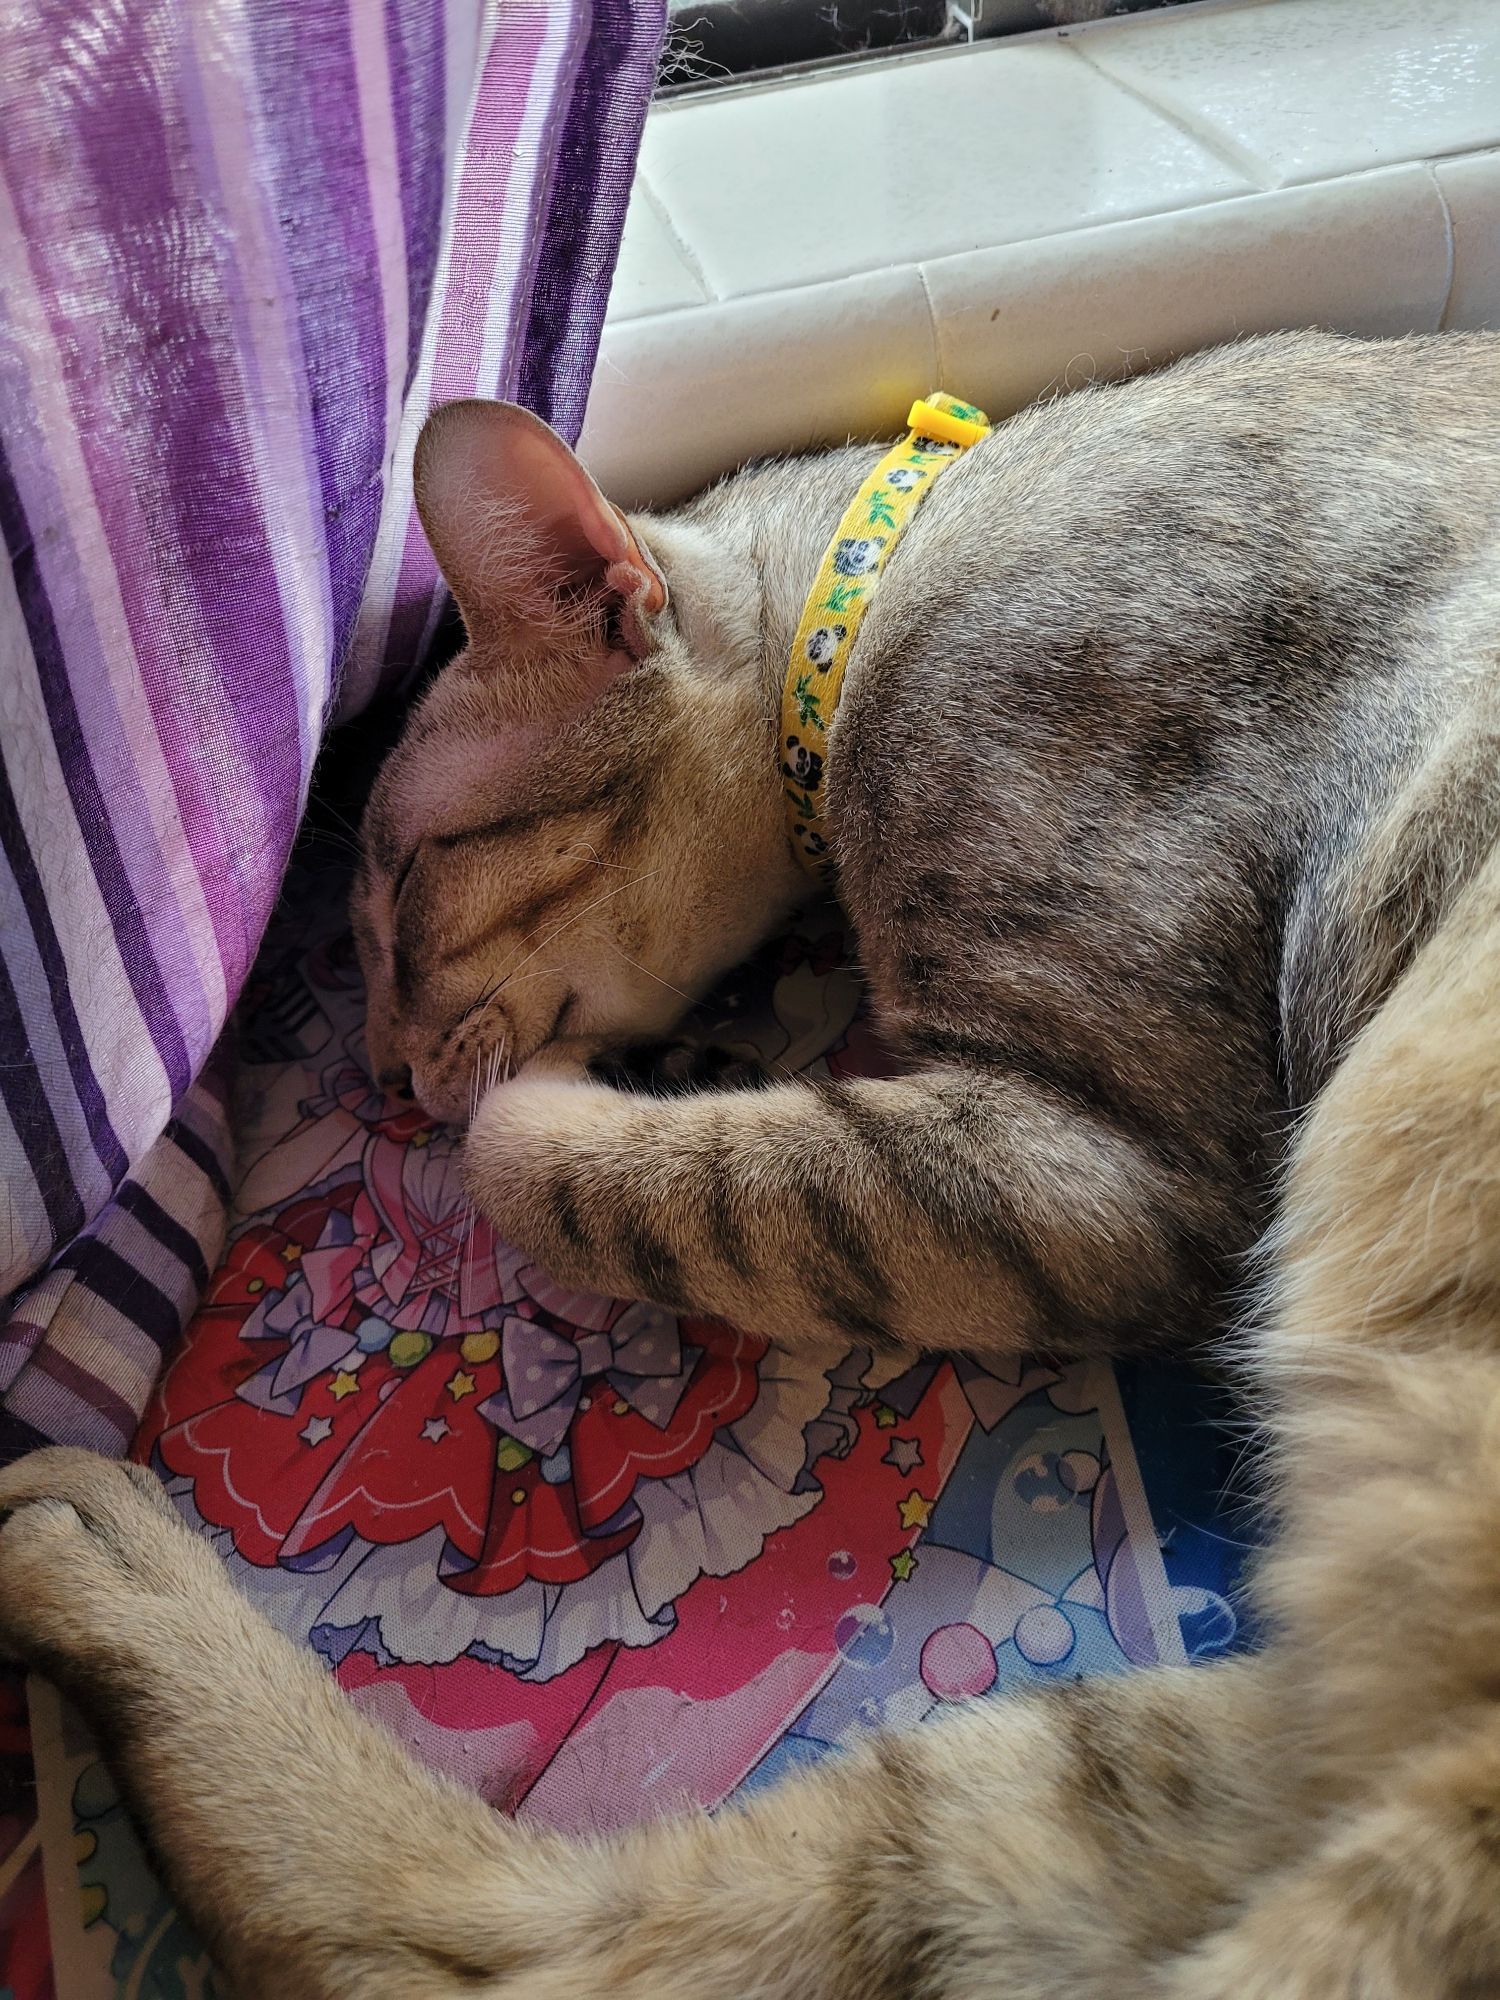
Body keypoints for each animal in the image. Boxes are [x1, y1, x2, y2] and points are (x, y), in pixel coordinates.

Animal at [2, 332, 1500, 2000]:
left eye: (402, 896)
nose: (380, 1074)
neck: (883, 581)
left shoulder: (1114, 1158)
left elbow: (584, 1165)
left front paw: (576, 1102)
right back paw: (92, 1564)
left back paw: (85, 1548)